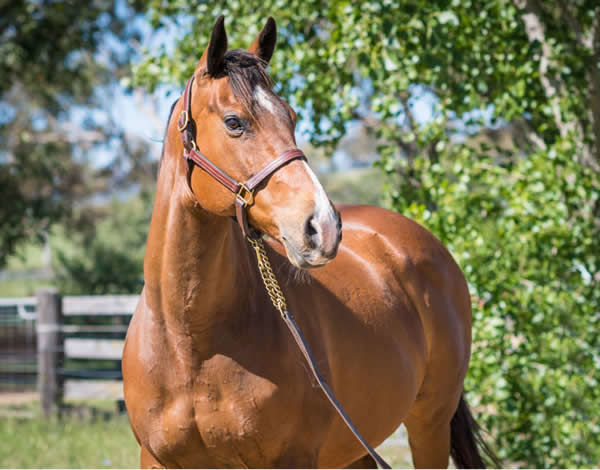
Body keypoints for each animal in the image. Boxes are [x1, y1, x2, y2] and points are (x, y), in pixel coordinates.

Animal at [123, 15, 496, 470]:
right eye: (234, 122)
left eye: (292, 116)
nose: (323, 226)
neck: (188, 342)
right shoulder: (156, 459)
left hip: (429, 425)